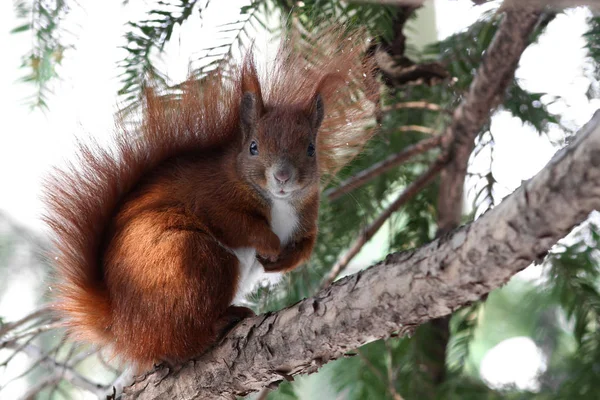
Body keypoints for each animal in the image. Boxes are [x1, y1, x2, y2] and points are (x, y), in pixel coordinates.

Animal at [44, 29, 378, 370]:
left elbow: (305, 249)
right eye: (253, 147)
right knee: (183, 341)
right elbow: (238, 224)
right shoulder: (210, 198)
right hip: (194, 258)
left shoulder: (307, 216)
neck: (278, 202)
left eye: (311, 148)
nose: (283, 177)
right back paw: (223, 320)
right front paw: (270, 244)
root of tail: (125, 330)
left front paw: (280, 261)